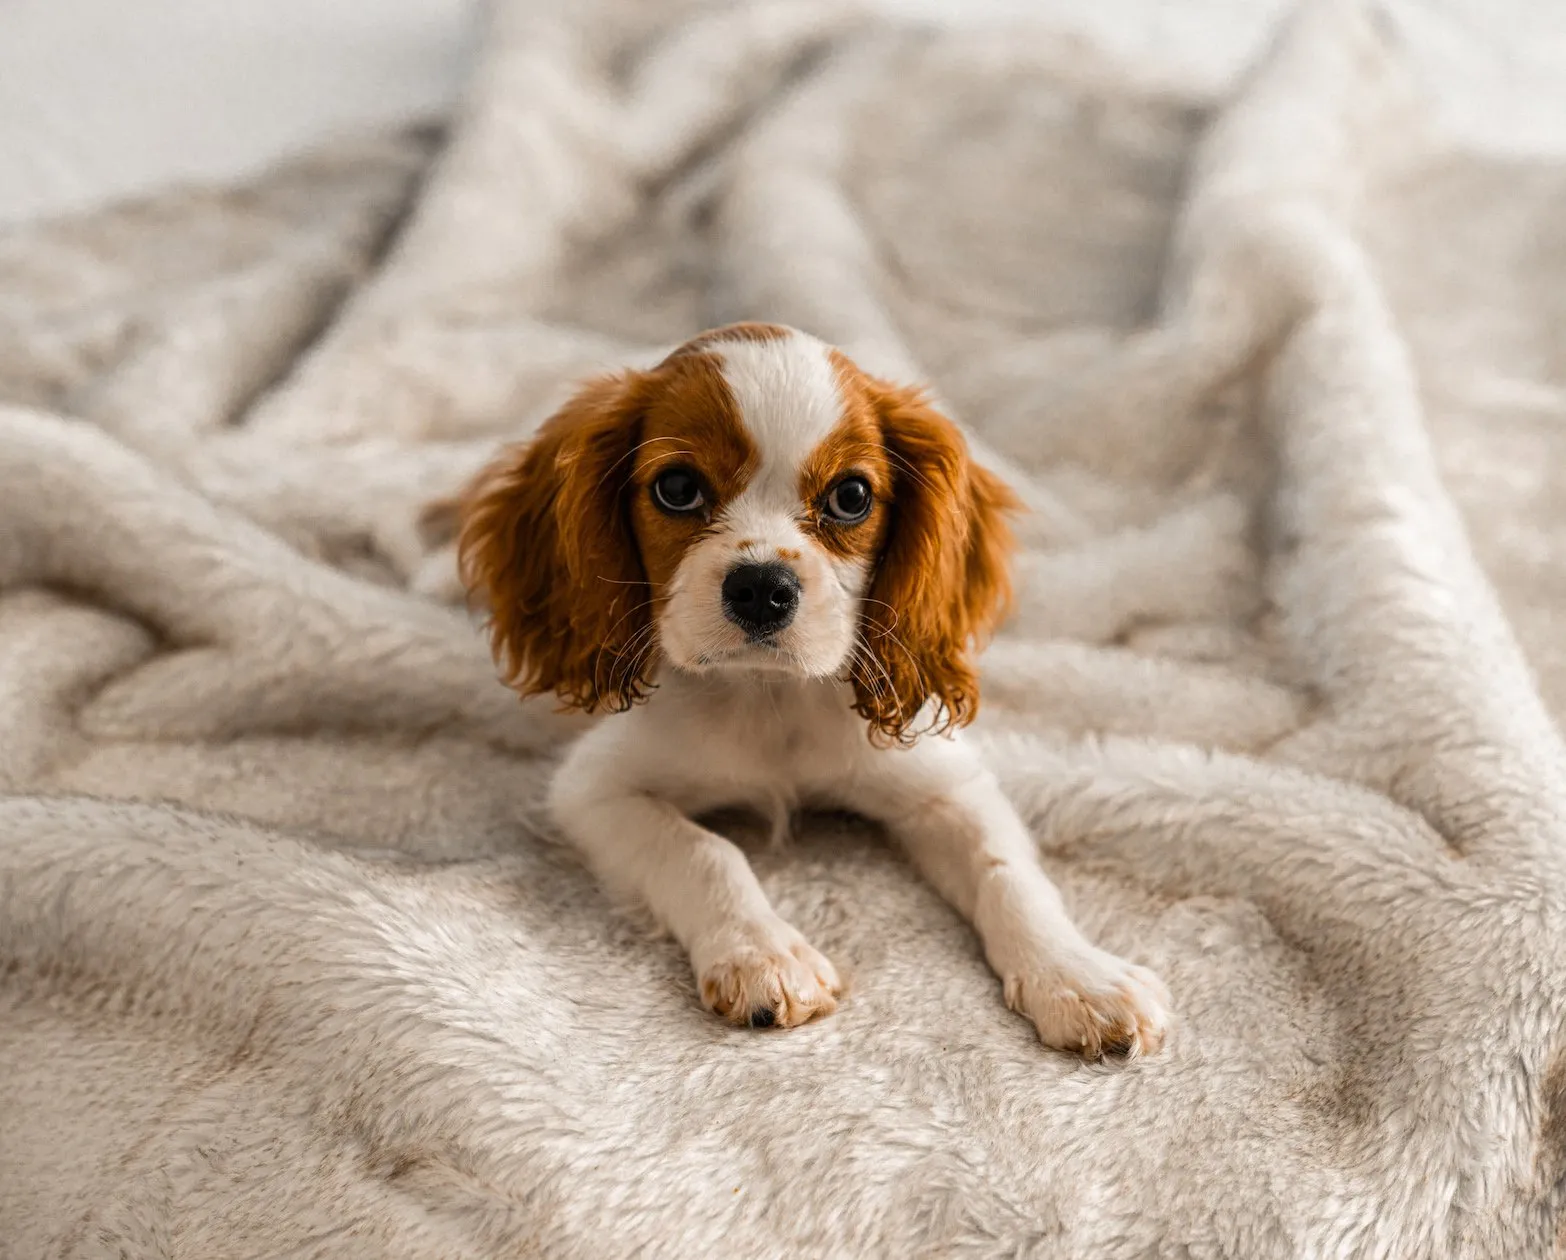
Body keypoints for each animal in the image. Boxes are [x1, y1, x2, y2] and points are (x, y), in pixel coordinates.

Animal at [457, 322, 1171, 1051]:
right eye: (677, 487)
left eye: (850, 497)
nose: (761, 588)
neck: (770, 695)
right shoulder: (594, 791)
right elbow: (701, 850)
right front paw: (765, 956)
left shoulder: (946, 787)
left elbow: (1009, 873)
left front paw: (1077, 977)